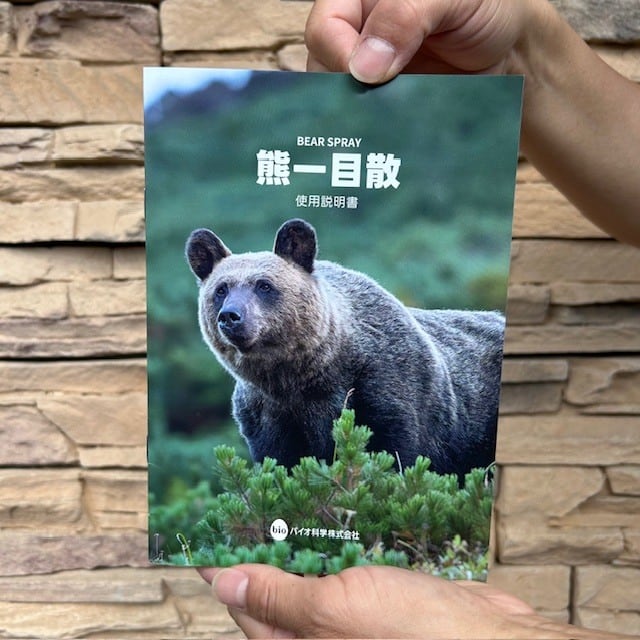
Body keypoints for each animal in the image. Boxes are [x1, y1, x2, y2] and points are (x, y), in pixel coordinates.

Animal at [186, 218, 505, 480]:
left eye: (264, 285)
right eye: (221, 289)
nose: (230, 316)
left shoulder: (385, 388)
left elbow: (395, 453)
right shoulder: (267, 413)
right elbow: (280, 463)